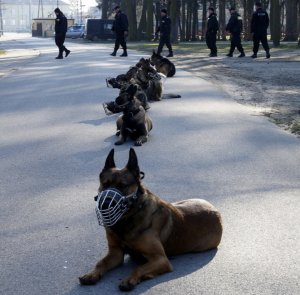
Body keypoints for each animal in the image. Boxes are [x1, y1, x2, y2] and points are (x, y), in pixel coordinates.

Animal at [79, 149, 223, 292]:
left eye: (123, 186)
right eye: (105, 184)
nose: (105, 204)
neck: (129, 217)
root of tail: (215, 210)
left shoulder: (160, 259)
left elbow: (139, 268)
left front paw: (130, 279)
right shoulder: (116, 253)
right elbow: (101, 263)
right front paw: (91, 274)